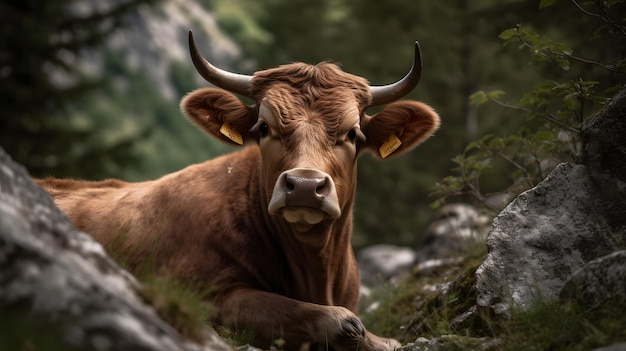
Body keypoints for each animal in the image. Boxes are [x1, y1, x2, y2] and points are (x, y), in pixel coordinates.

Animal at [36, 31, 438, 350]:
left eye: (352, 134)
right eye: (263, 127)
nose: (305, 186)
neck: (318, 270)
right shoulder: (206, 298)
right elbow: (344, 323)